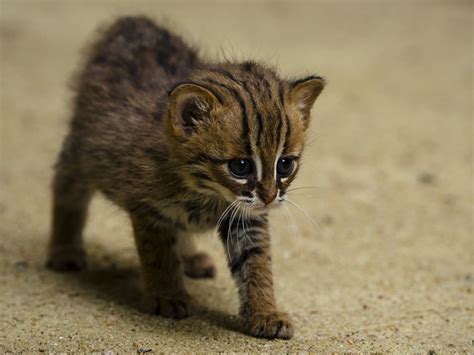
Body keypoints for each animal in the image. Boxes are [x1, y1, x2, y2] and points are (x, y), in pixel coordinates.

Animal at [45, 16, 326, 340]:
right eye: (241, 166)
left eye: (285, 165)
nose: (269, 197)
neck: (206, 192)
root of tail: (133, 21)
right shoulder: (148, 209)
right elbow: (159, 254)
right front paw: (168, 295)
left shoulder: (246, 216)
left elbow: (256, 260)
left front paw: (265, 312)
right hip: (81, 151)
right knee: (66, 190)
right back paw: (64, 249)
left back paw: (190, 257)